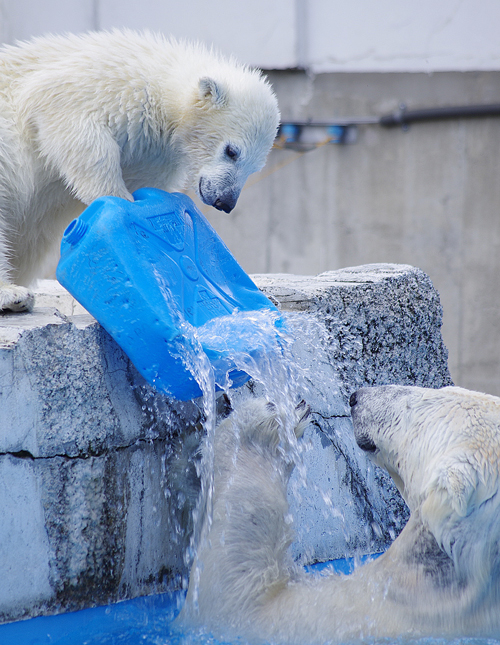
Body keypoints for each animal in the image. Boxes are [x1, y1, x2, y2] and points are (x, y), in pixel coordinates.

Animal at [0, 30, 280, 312]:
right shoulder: (93, 85)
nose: (225, 201)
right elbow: (80, 133)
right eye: (232, 151)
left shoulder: (152, 153)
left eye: (255, 167)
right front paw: (120, 204)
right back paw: (13, 294)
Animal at [180, 384, 500, 640]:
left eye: (414, 408)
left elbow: (239, 589)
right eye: (443, 388)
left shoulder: (355, 612)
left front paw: (257, 426)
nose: (356, 397)